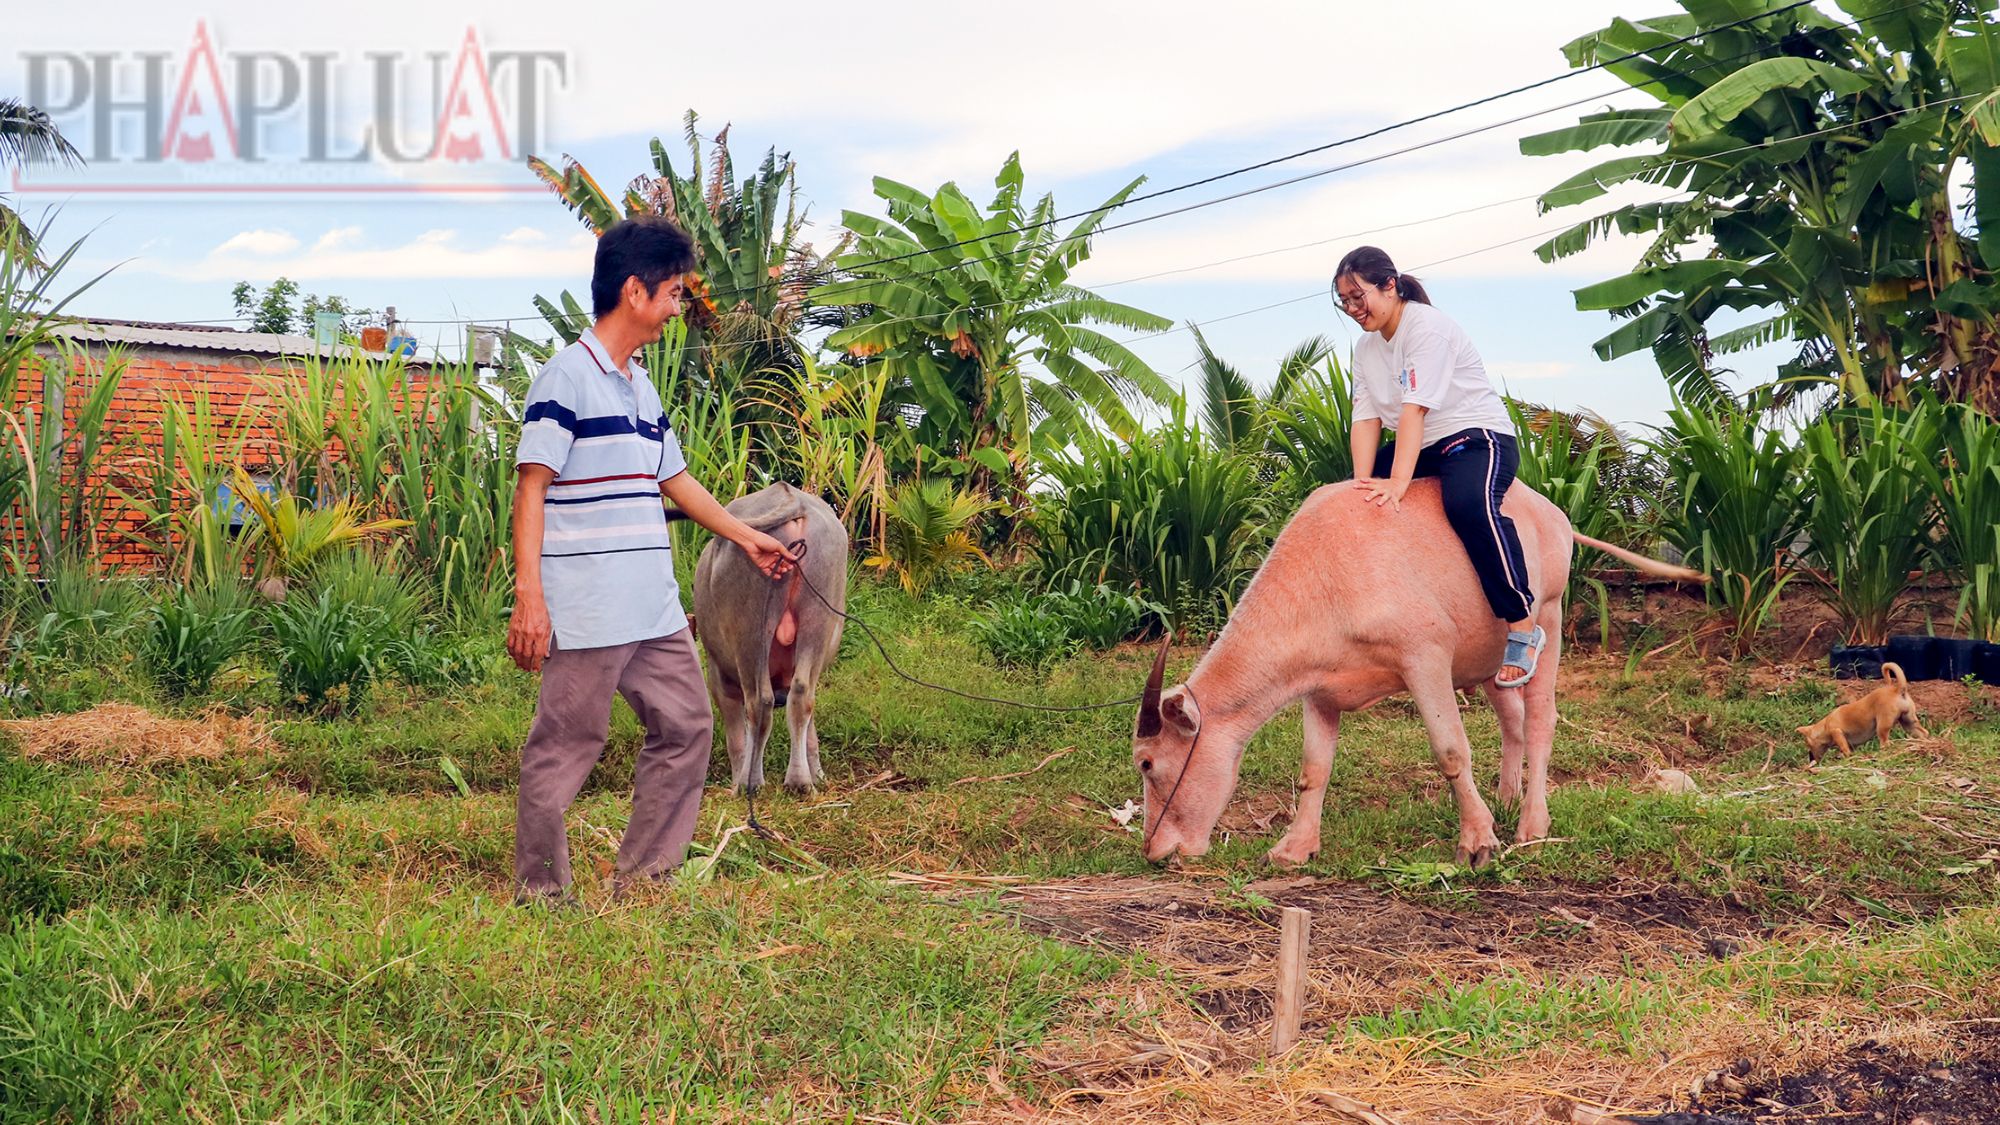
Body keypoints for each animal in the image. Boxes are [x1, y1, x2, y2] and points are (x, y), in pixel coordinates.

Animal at [692, 480, 848, 788]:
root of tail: (789, 496)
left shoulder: (719, 677)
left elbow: (736, 736)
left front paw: (736, 777)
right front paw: (818, 775)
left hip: (750, 633)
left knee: (759, 702)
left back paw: (748, 783)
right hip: (818, 616)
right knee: (802, 695)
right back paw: (800, 782)